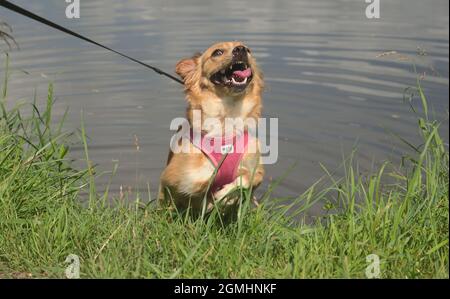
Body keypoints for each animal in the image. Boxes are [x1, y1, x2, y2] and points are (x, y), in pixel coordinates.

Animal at [158, 41, 264, 216]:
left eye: (248, 50)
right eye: (217, 52)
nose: (241, 49)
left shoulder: (258, 173)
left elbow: (247, 177)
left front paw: (227, 195)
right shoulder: (173, 177)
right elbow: (204, 183)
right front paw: (220, 196)